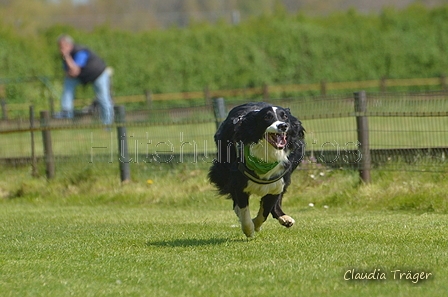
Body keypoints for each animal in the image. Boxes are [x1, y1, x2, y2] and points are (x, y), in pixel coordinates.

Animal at [209, 102, 304, 236]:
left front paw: (256, 225)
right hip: (223, 170)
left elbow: (265, 212)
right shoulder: (238, 183)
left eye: (285, 116)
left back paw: (284, 218)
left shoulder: (278, 182)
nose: (283, 126)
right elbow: (244, 210)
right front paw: (249, 229)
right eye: (267, 117)